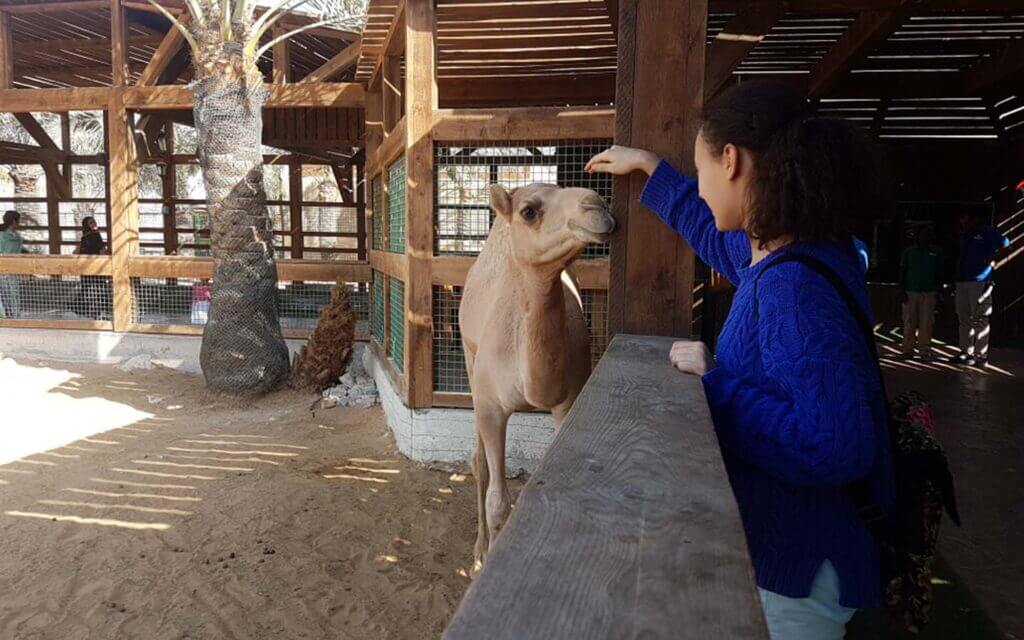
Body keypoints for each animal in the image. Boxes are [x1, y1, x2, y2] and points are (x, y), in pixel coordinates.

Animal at [462, 181, 614, 565]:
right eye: (529, 211)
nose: (598, 204)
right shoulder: (490, 405)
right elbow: (497, 501)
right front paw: (486, 559)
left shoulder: (568, 401)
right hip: (470, 359)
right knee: (478, 462)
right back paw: (479, 549)